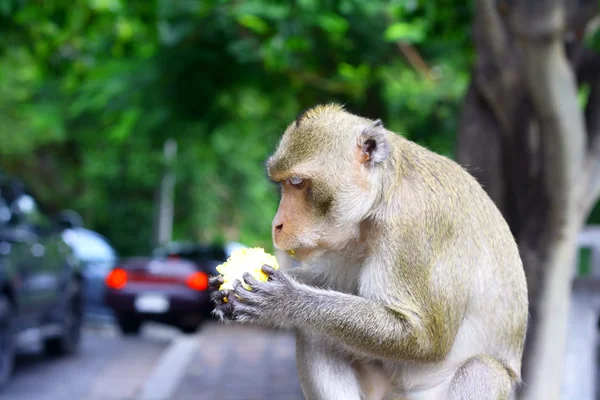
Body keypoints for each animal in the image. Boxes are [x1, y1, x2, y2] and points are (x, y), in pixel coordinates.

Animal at [209, 104, 528, 400]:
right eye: (283, 184)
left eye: (297, 183)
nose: (276, 224)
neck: (383, 195)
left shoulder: (414, 223)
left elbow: (424, 339)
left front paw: (287, 300)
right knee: (314, 331)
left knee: (481, 369)